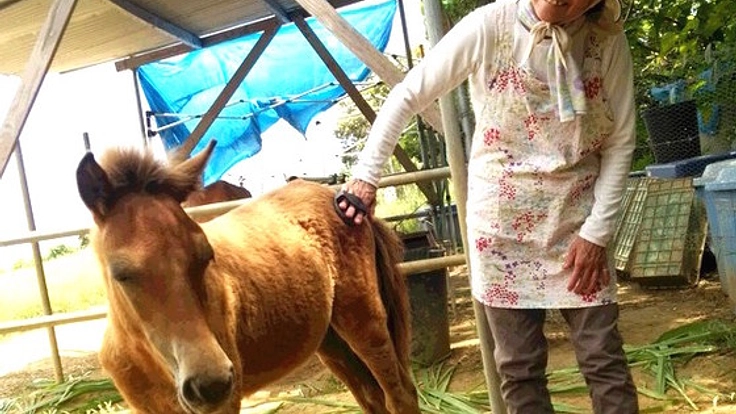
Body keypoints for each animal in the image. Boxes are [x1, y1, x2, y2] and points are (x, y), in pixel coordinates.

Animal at [75, 141, 420, 414]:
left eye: (205, 255)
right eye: (120, 273)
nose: (211, 384)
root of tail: (343, 197)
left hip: (364, 321)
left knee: (401, 395)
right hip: (331, 341)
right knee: (372, 398)